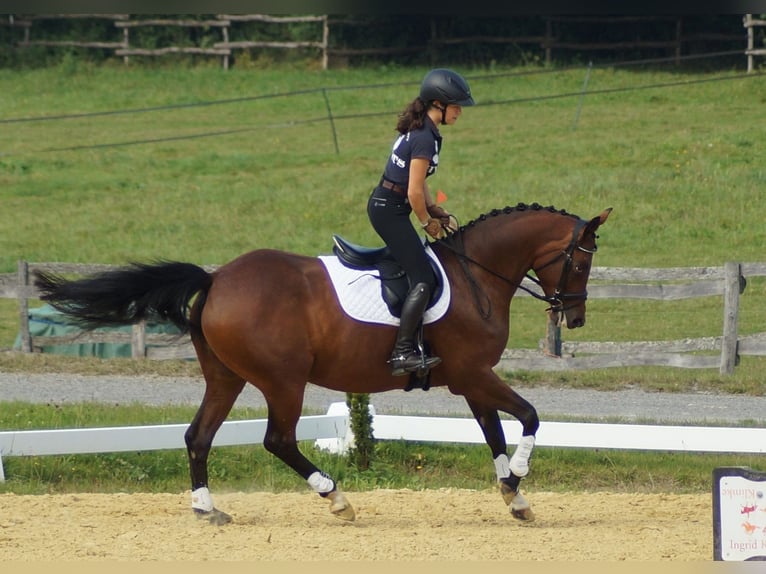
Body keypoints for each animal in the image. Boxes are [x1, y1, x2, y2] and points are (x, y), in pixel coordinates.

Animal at [34, 202, 612, 528]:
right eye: (582, 261)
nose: (576, 315)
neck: (477, 275)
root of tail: (217, 278)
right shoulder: (474, 374)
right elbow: (529, 416)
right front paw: (518, 478)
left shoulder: (469, 380)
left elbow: (494, 432)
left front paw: (514, 498)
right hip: (283, 380)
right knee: (277, 440)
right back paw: (337, 500)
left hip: (226, 376)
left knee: (199, 436)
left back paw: (207, 509)